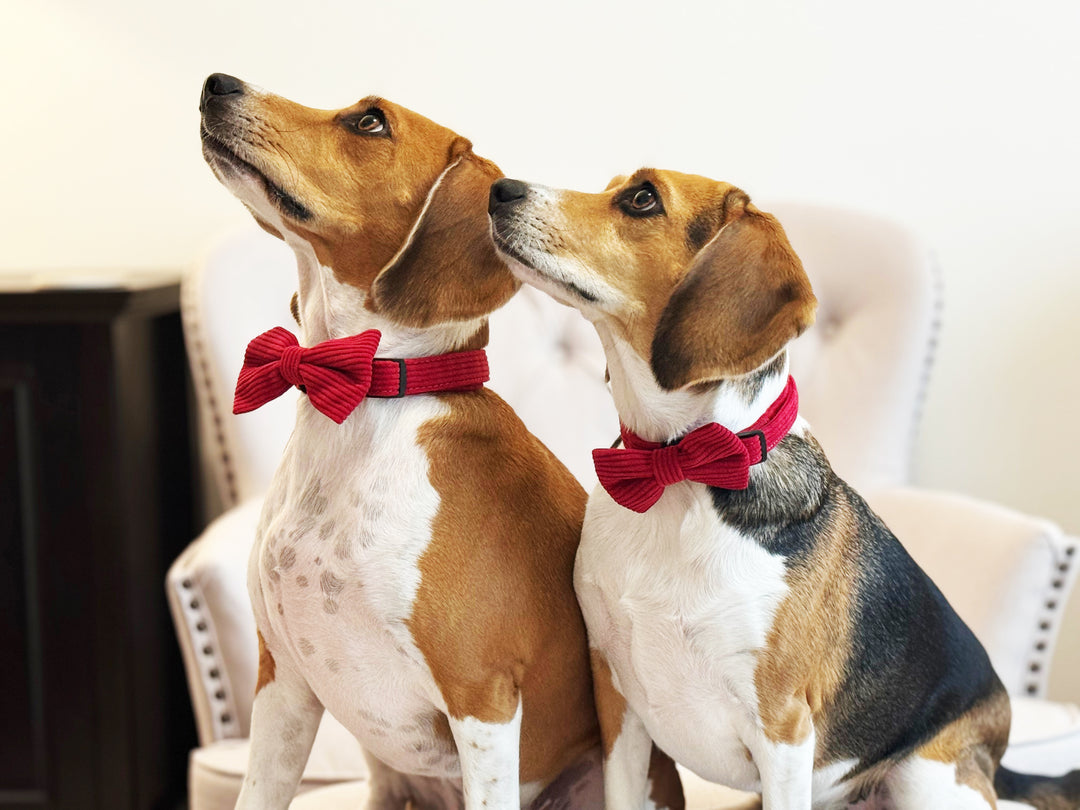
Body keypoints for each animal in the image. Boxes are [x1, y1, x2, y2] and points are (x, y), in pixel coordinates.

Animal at [490, 172, 1080, 810]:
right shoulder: (618, 709)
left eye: (642, 198)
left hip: (925, 779)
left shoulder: (782, 730)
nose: (501, 189)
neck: (676, 471)